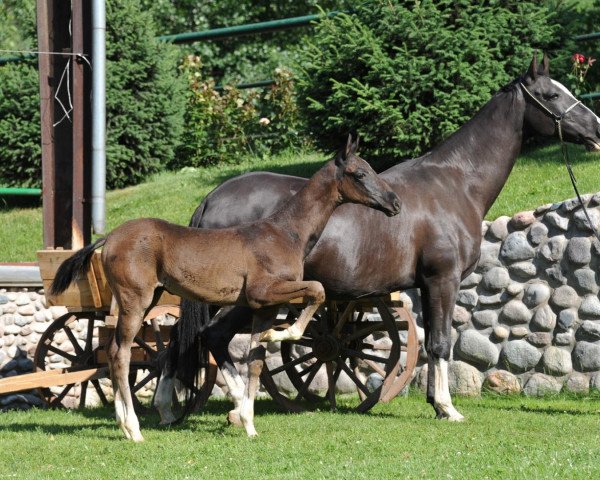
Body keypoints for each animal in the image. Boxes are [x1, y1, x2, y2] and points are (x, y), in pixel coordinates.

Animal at [50, 136, 398, 442]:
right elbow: (318, 289)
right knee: (120, 354)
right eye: (359, 173)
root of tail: (109, 237)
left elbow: (256, 360)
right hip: (136, 300)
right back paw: (133, 429)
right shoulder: (263, 292)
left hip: (148, 299)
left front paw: (249, 423)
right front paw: (285, 335)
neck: (287, 234)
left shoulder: (265, 307)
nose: (394, 202)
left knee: (114, 352)